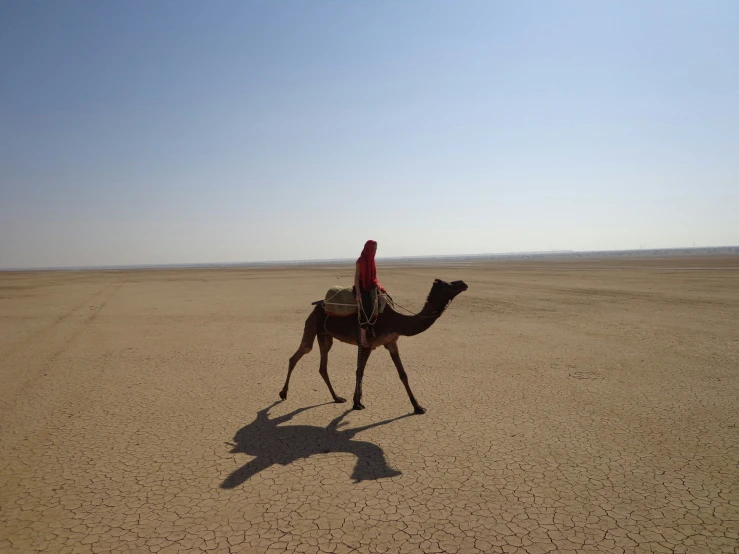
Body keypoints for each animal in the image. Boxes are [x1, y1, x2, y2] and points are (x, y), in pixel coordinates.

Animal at [280, 278, 472, 412]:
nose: (463, 283)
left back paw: (337, 397)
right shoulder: (367, 343)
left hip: (325, 335)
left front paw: (418, 407)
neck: (396, 320)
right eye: (448, 284)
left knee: (322, 367)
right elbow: (360, 371)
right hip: (312, 324)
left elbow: (403, 374)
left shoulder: (391, 342)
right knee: (300, 353)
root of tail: (320, 303)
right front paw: (357, 403)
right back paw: (283, 394)